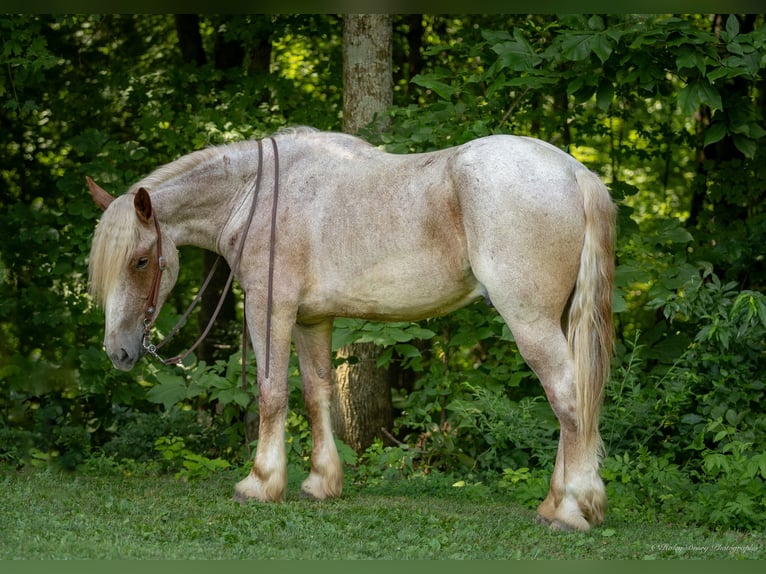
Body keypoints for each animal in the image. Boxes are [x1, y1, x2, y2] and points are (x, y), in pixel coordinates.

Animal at [87, 128, 616, 532]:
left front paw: (260, 483)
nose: (118, 352)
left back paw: (570, 509)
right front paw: (321, 482)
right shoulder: (311, 319)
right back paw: (556, 503)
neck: (254, 194)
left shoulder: (269, 309)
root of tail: (574, 171)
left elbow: (271, 394)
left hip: (531, 323)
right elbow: (316, 393)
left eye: (139, 261)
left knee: (568, 399)